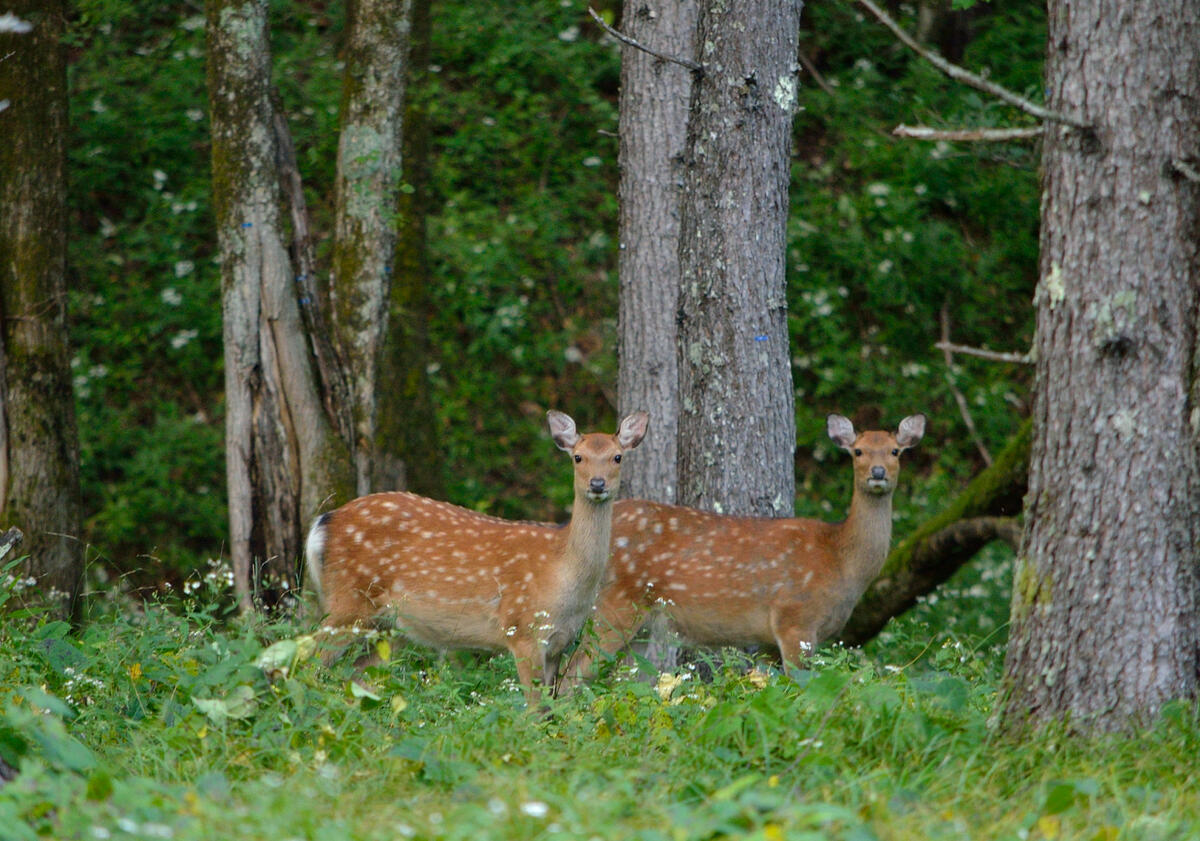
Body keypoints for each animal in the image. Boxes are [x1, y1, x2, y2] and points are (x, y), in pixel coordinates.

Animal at [304, 410, 652, 700]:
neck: (563, 575)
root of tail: (325, 521)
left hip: (390, 625)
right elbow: (535, 710)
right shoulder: (522, 630)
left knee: (356, 677)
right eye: (578, 457)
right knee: (308, 659)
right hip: (349, 599)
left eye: (617, 457)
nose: (598, 483)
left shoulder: (559, 643)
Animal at [564, 412, 926, 681]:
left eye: (895, 451)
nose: (878, 472)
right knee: (574, 671)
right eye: (858, 451)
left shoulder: (773, 639)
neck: (840, 560)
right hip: (615, 603)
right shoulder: (794, 618)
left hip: (641, 620)